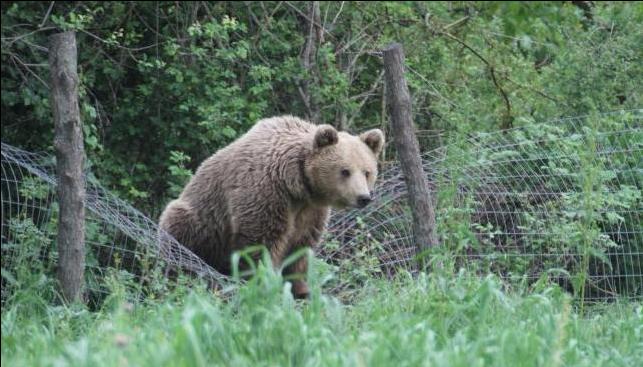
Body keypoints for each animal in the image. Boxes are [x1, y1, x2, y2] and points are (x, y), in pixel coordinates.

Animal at [159, 115, 384, 300]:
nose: (363, 197)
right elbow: (261, 243)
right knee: (179, 235)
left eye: (367, 172)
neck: (297, 185)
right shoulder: (266, 192)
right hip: (201, 222)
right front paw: (264, 283)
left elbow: (300, 246)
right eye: (345, 171)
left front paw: (301, 289)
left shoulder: (311, 211)